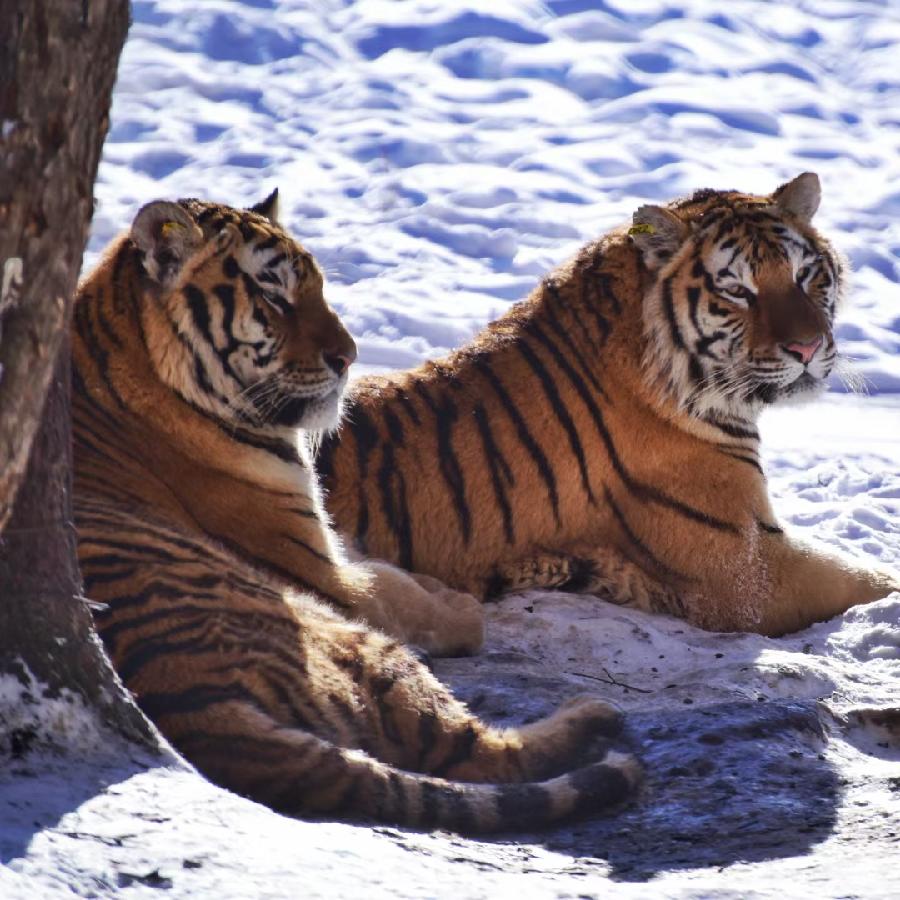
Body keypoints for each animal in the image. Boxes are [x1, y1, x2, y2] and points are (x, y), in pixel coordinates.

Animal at [71, 190, 640, 833]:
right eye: (274, 296)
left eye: (319, 288)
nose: (350, 357)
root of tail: (194, 708)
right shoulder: (325, 575)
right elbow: (406, 597)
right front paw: (459, 605)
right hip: (350, 639)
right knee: (479, 755)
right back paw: (595, 715)